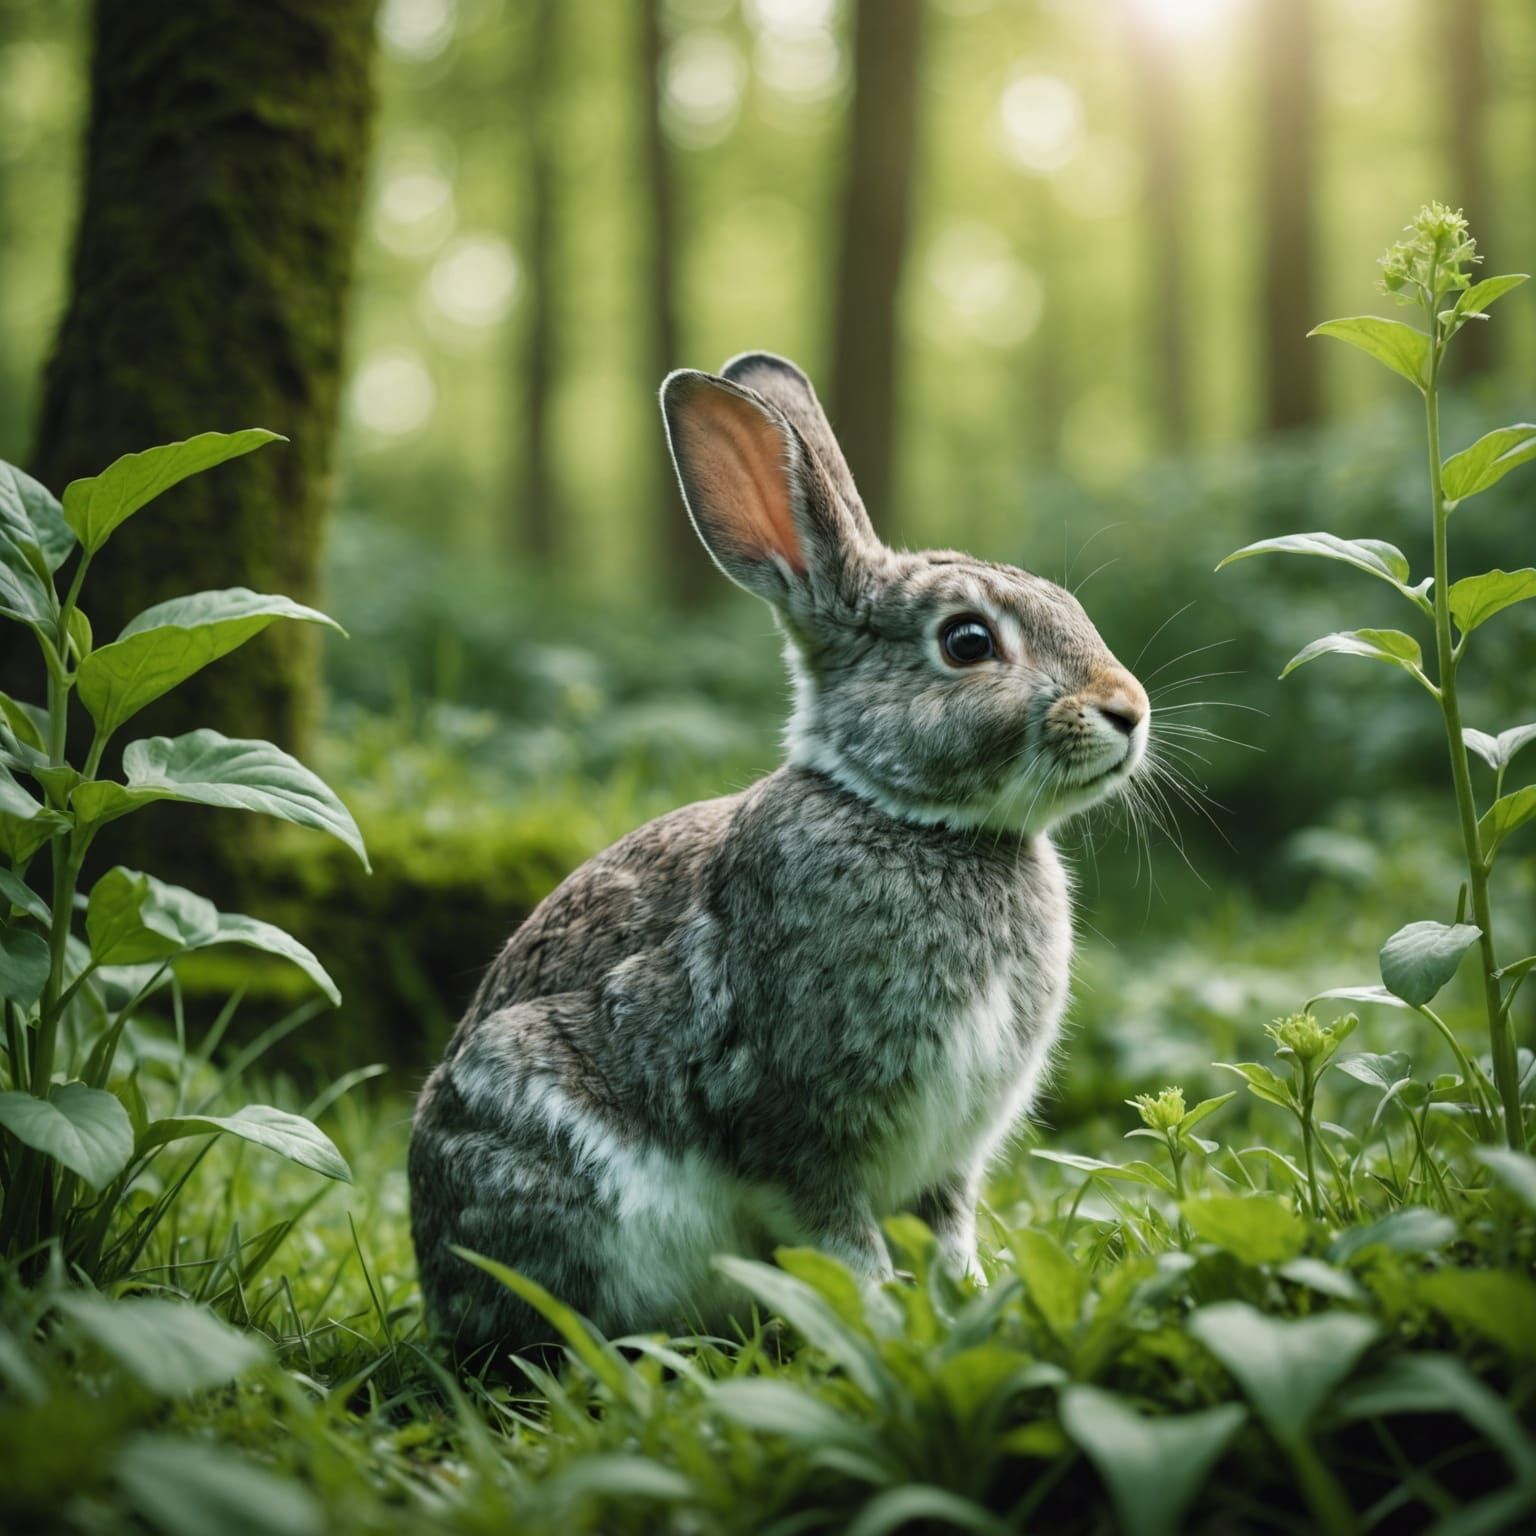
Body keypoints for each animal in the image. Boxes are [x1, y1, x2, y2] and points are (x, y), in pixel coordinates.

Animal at [408, 352, 1150, 1363]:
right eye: (966, 642)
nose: (1130, 711)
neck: (914, 818)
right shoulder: (794, 1120)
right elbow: (843, 1240)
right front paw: (885, 1323)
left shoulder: (948, 1159)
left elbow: (947, 1233)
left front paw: (969, 1301)